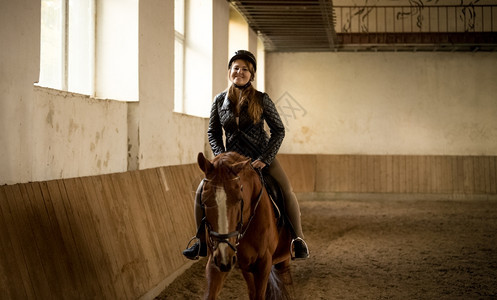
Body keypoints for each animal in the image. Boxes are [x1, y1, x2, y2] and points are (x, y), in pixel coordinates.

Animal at [196, 152, 292, 300]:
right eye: (204, 200)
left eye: (239, 199)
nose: (225, 256)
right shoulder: (216, 260)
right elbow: (210, 294)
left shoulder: (263, 264)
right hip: (246, 267)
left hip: (282, 259)